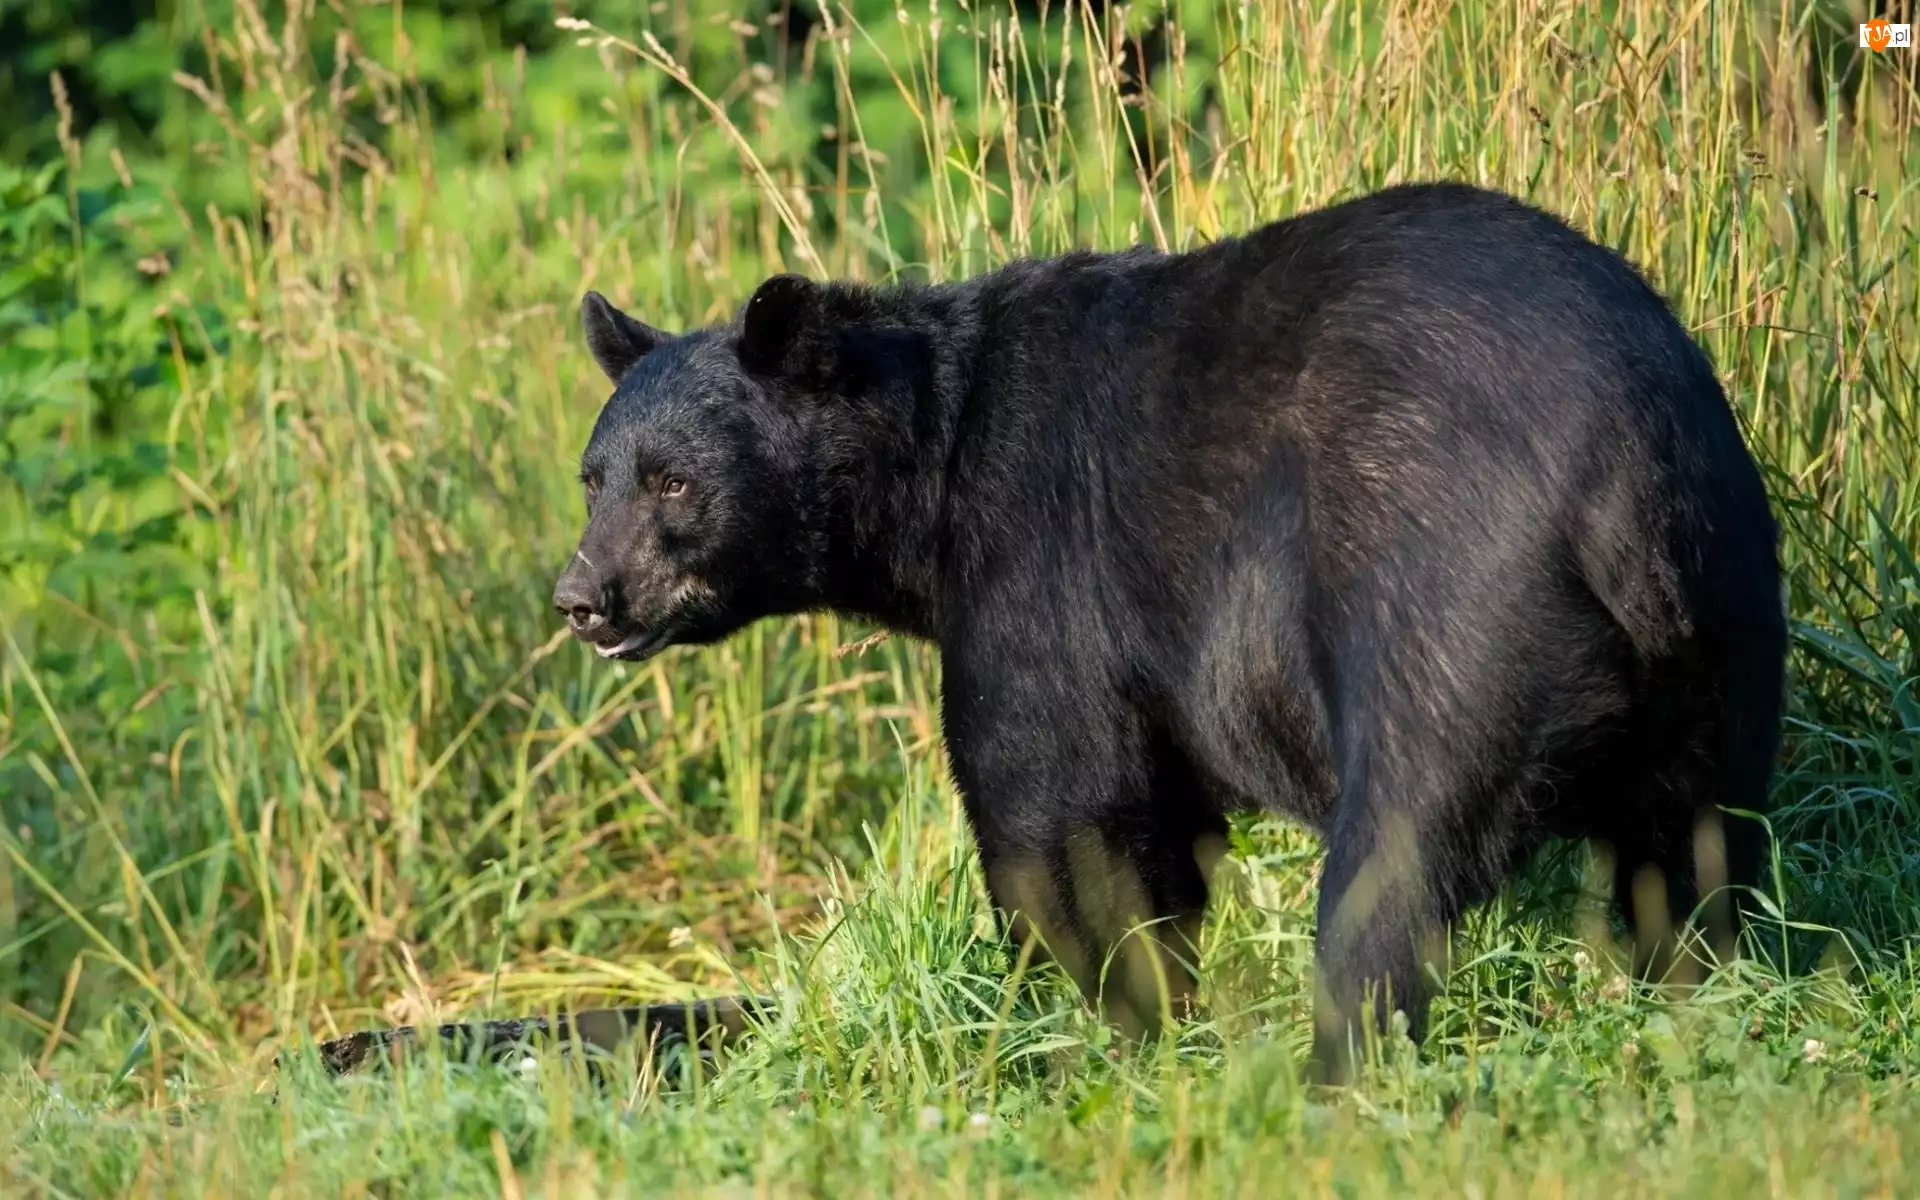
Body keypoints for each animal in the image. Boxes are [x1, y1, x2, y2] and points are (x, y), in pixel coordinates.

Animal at [552, 180, 1781, 1082]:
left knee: (1395, 857)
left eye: (673, 482)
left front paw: (1096, 1021)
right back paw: (1696, 993)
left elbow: (1060, 809)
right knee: (1696, 846)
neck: (930, 472)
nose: (582, 597)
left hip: (1443, 607)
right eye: (594, 476)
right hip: (1722, 625)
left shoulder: (1042, 562)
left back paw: (1335, 1069)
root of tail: (1618, 478)